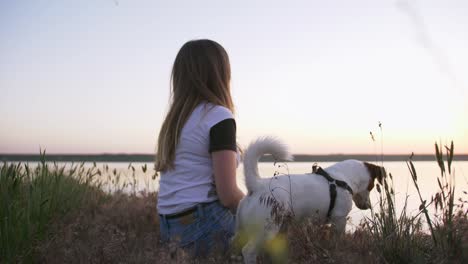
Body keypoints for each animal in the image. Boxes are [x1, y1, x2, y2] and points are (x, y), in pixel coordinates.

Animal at [234, 137, 384, 262]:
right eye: (371, 186)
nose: (368, 206)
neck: (343, 178)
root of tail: (257, 185)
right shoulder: (339, 219)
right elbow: (337, 240)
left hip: (247, 230)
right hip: (267, 229)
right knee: (248, 251)